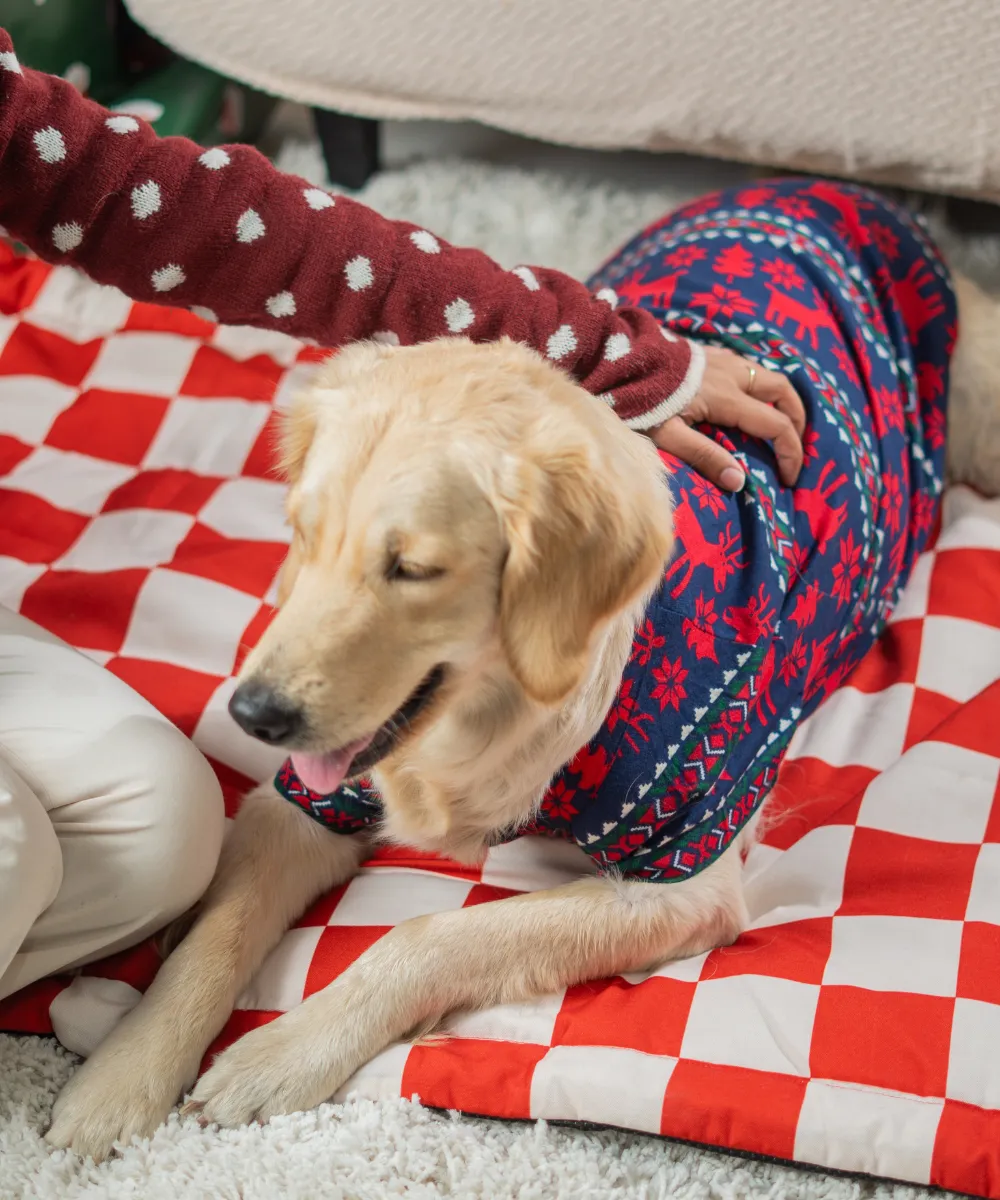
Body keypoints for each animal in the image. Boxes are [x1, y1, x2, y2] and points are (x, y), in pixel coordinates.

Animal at [50, 206, 998, 1161]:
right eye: (301, 535)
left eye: (413, 569)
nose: (253, 714)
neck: (499, 715)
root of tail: (850, 202)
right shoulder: (303, 803)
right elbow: (214, 934)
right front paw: (124, 1072)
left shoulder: (684, 876)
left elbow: (434, 935)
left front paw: (280, 1055)